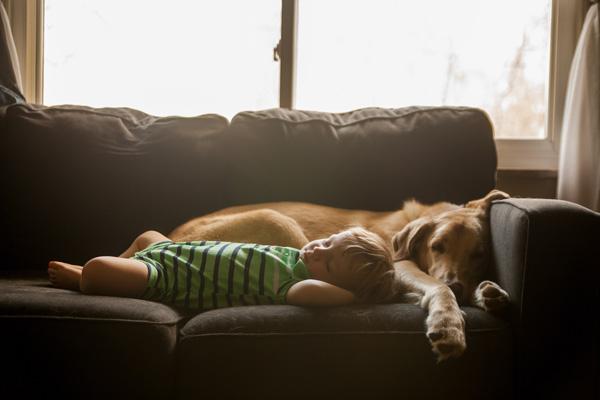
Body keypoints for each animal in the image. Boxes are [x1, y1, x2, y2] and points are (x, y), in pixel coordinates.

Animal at [170, 189, 510, 360]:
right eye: (437, 246)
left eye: (479, 254)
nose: (458, 284)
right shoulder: (400, 265)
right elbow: (439, 288)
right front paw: (448, 325)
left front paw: (487, 293)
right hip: (278, 220)